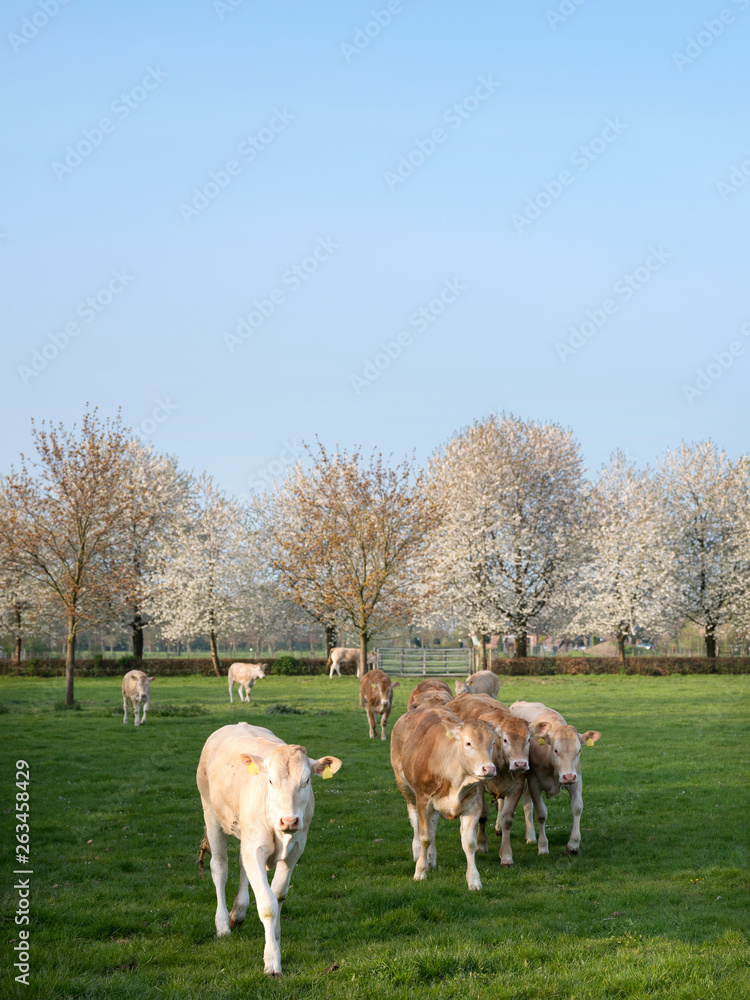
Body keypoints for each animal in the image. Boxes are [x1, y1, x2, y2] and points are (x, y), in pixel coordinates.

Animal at [196, 722, 342, 976]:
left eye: (306, 781)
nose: (289, 820)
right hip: (211, 813)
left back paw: (238, 912)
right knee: (220, 868)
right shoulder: (255, 849)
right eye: (271, 781)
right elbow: (267, 904)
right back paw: (223, 924)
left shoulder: (295, 850)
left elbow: (279, 894)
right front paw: (272, 960)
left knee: (241, 864)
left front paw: (275, 935)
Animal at [390, 706, 497, 890]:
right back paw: (417, 852)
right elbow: (425, 838)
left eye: (493, 743)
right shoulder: (424, 801)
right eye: (468, 743)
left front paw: (474, 880)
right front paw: (420, 871)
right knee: (416, 821)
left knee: (432, 827)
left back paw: (431, 858)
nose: (488, 769)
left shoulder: (473, 804)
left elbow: (469, 843)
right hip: (405, 786)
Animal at [446, 693, 541, 865]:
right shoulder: (478, 786)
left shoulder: (517, 786)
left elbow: (507, 819)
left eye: (529, 739)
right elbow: (482, 815)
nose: (520, 764)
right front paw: (481, 844)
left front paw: (506, 855)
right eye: (505, 740)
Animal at [509, 700, 601, 856]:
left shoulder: (577, 780)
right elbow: (541, 814)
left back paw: (530, 836)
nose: (568, 776)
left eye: (579, 750)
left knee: (527, 803)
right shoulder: (534, 783)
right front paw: (543, 847)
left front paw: (573, 844)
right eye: (556, 750)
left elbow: (577, 808)